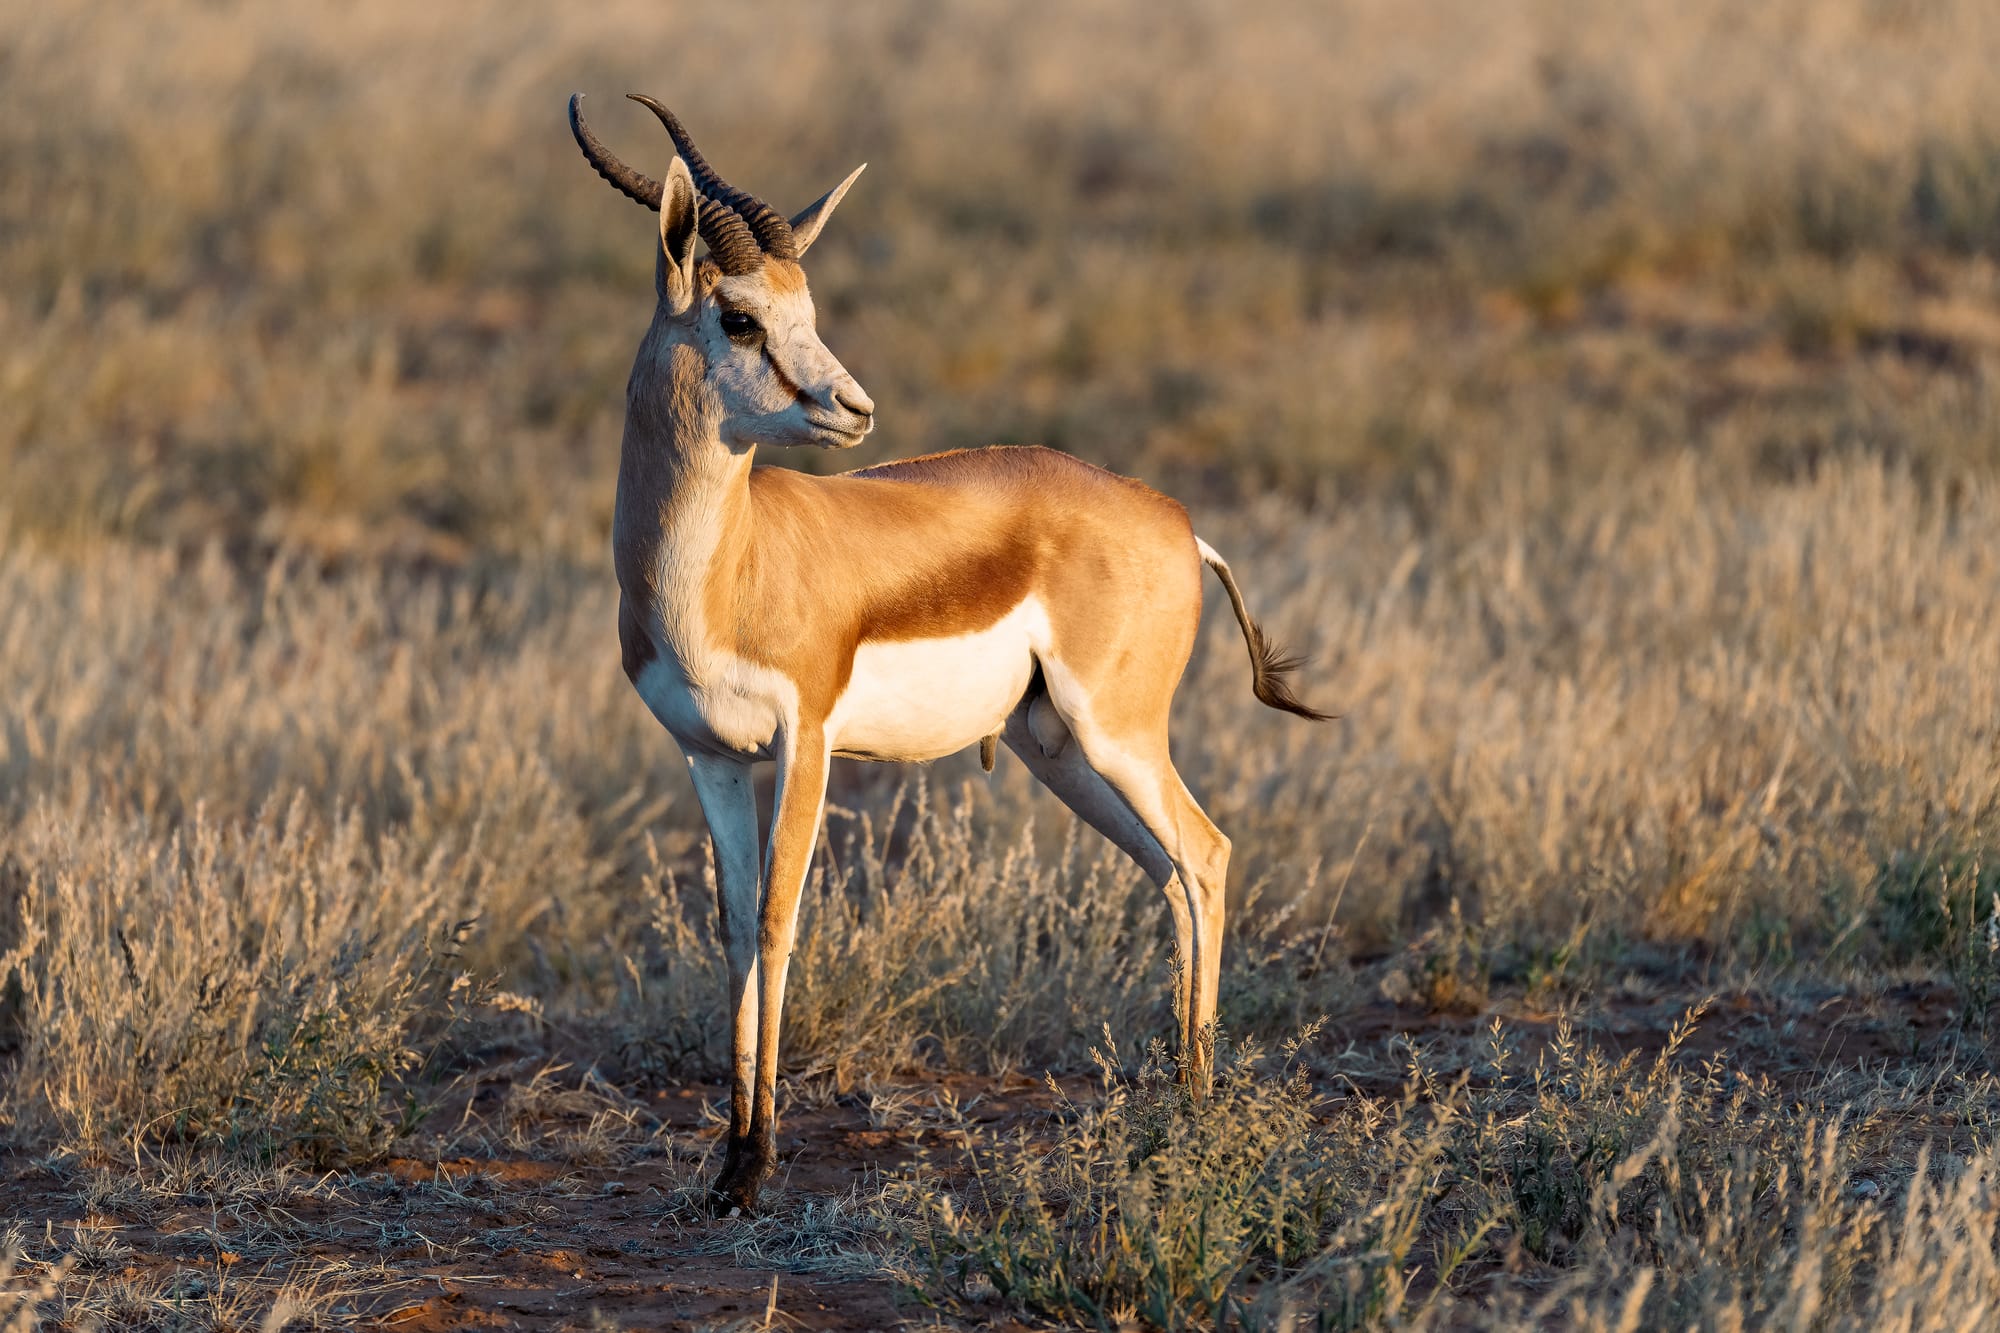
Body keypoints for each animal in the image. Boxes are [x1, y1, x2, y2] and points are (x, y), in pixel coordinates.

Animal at [569, 93, 1328, 1215]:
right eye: (739, 316)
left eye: (804, 305)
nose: (853, 408)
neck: (722, 565)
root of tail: (1177, 523)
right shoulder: (708, 756)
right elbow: (734, 928)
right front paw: (726, 1164)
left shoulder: (806, 744)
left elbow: (779, 920)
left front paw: (758, 1164)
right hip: (1058, 750)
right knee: (1173, 870)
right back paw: (1178, 1098)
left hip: (1116, 734)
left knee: (1204, 850)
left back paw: (1196, 1107)